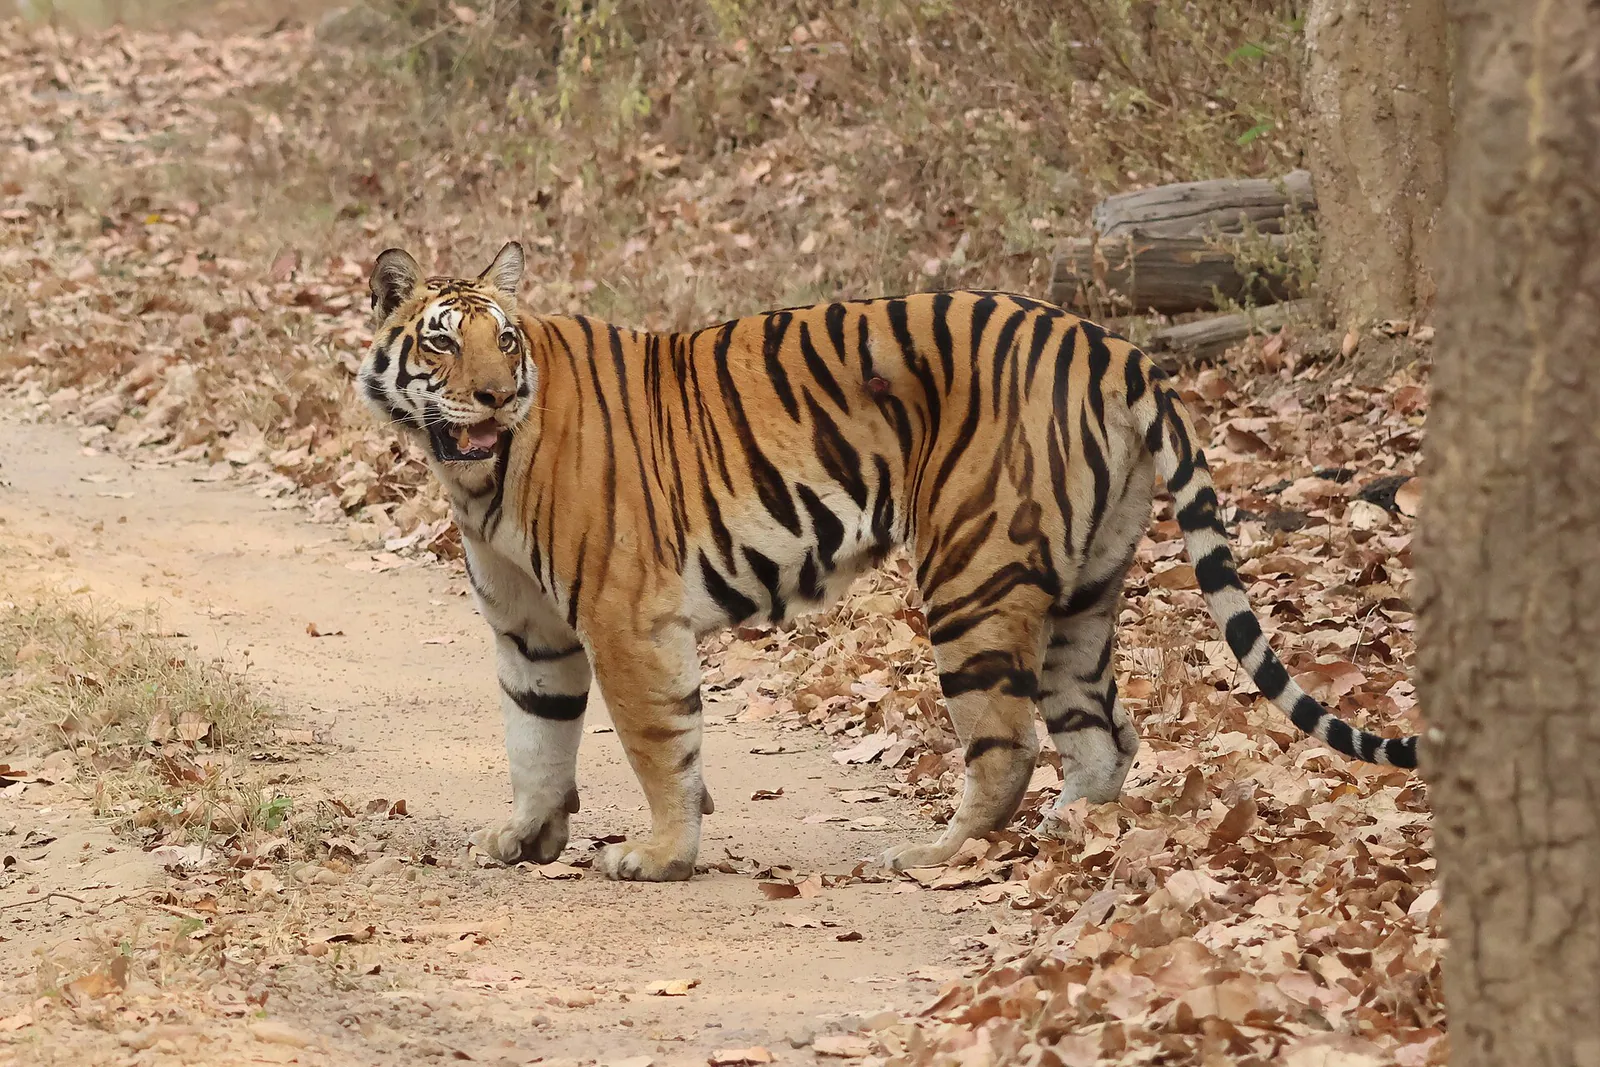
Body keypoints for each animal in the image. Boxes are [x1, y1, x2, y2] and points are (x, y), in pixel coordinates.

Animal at [356, 240, 1419, 882]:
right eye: (443, 345)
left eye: (505, 342)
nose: (495, 396)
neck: (478, 476)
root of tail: (1108, 341)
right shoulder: (531, 630)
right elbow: (534, 736)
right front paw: (524, 837)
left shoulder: (626, 616)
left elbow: (659, 744)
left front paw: (657, 855)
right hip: (1086, 588)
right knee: (1106, 733)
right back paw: (1068, 833)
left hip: (970, 574)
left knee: (1009, 743)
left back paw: (938, 853)